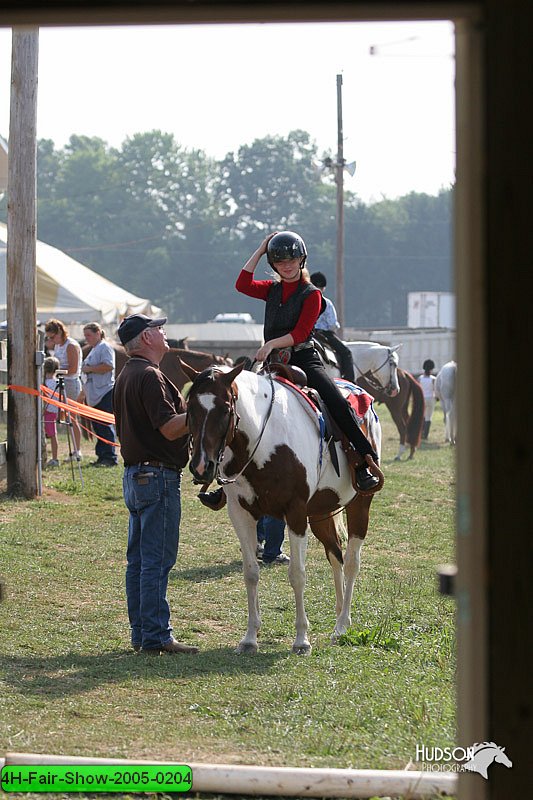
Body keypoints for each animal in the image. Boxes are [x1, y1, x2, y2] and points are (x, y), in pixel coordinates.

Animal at [183, 362, 382, 656]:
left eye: (226, 409)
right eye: (190, 408)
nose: (200, 466)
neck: (265, 441)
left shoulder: (296, 513)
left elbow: (297, 575)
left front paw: (301, 640)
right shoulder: (241, 514)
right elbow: (250, 573)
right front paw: (250, 638)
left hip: (359, 504)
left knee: (351, 563)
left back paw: (342, 626)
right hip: (321, 513)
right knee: (336, 556)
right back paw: (337, 618)